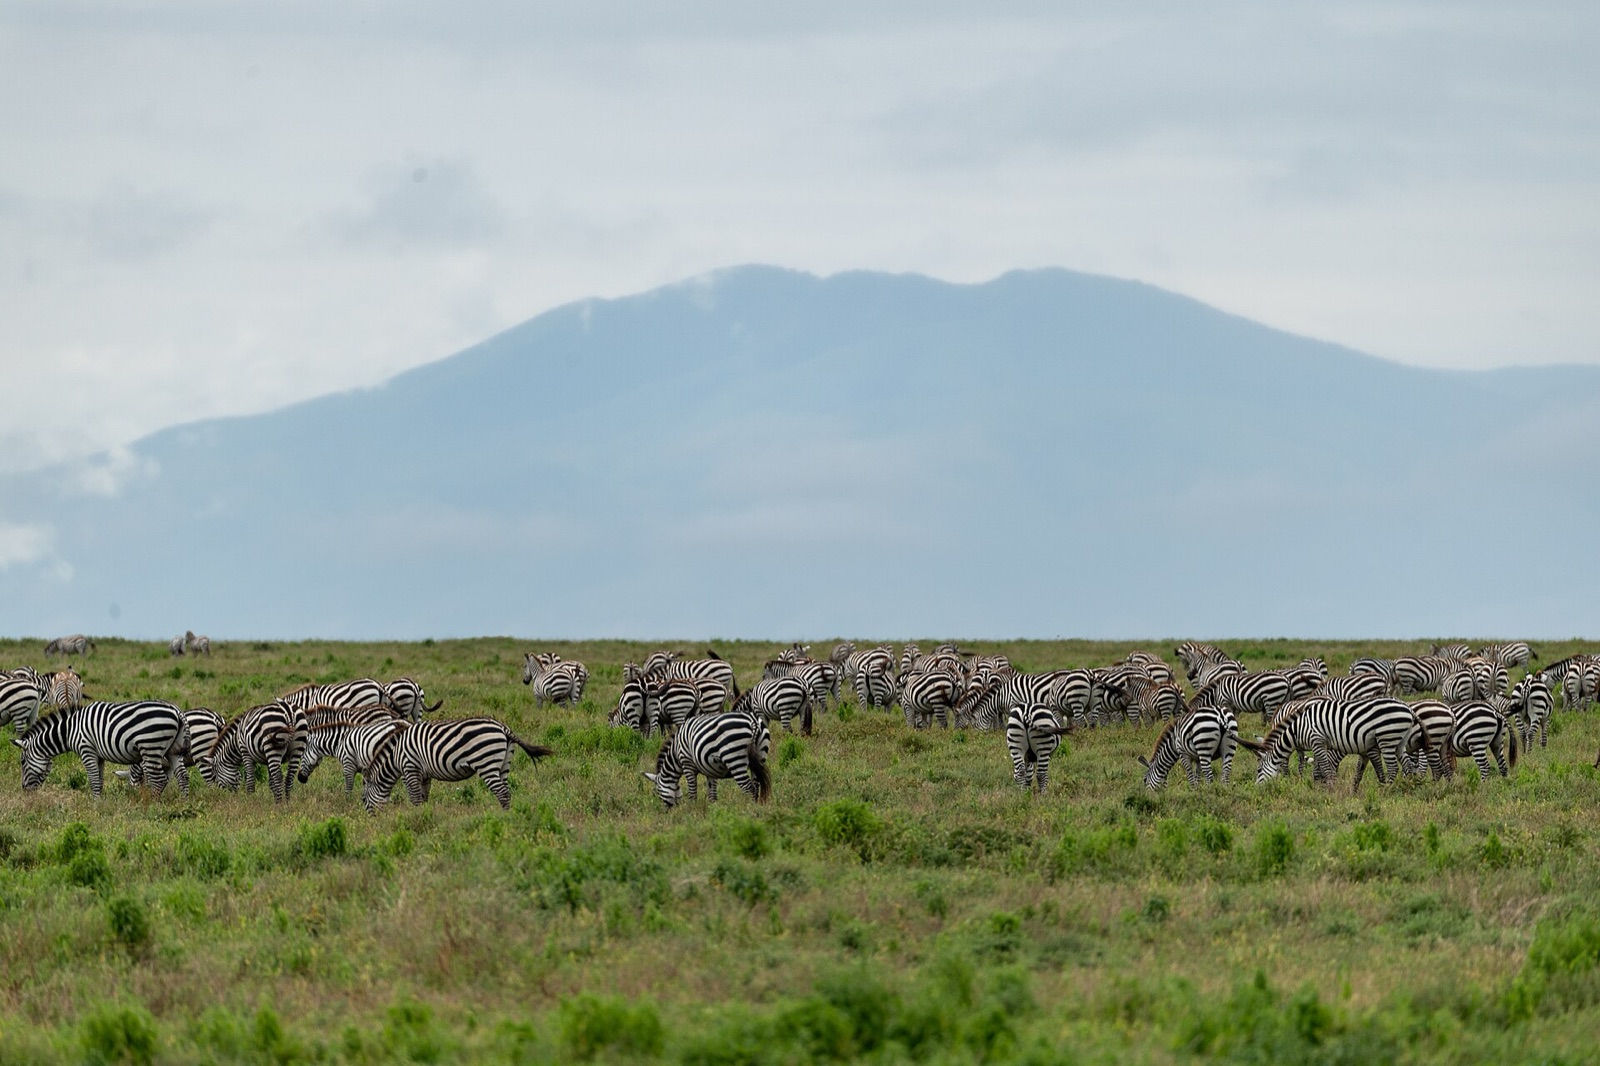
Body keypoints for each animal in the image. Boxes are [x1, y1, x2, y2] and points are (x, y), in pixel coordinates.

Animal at [15, 700, 183, 797]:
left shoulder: (86, 750)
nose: (24, 791)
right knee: (182, 776)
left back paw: (152, 805)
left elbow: (94, 779)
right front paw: (100, 801)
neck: (70, 730)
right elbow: (100, 780)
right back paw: (184, 802)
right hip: (172, 750)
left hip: (151, 747)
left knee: (159, 779)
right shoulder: (99, 755)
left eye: (22, 762)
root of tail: (176, 711)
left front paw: (95, 804)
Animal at [361, 718, 554, 812]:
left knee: (501, 792)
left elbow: (415, 799)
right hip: (504, 764)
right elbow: (424, 798)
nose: (371, 822)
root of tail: (503, 728)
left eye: (364, 800)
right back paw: (509, 814)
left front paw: (415, 818)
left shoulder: (410, 768)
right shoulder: (424, 775)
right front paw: (424, 816)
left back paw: (505, 819)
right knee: (506, 791)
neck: (395, 754)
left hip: (486, 763)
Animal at [643, 711, 771, 809]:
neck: (675, 753)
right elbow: (712, 794)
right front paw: (713, 811)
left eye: (657, 793)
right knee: (756, 785)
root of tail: (753, 721)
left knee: (749, 788)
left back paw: (748, 810)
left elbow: (692, 792)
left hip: (734, 759)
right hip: (761, 755)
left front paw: (692, 810)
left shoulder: (688, 765)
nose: (666, 812)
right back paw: (755, 809)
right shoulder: (710, 769)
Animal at [1248, 697, 1423, 792]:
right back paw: (1408, 787)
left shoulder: (1317, 740)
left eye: (1258, 770)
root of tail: (1408, 708)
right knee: (1407, 764)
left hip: (1387, 737)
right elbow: (1319, 771)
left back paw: (1387, 790)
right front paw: (1320, 789)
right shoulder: (1320, 745)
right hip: (1400, 740)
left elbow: (1326, 770)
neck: (1299, 728)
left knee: (1393, 767)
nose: (1256, 789)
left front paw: (1331, 790)